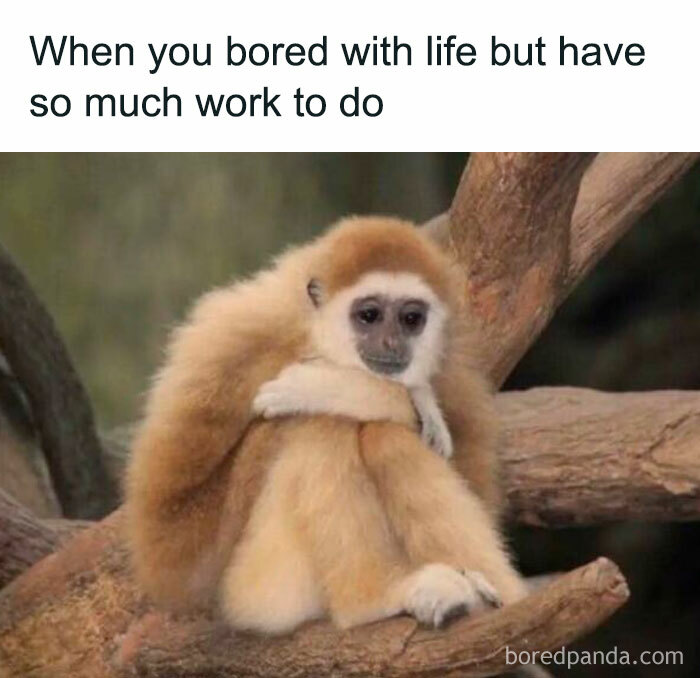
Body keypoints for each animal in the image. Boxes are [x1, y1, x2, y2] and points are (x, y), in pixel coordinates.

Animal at [124, 216, 527, 635]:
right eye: (369, 315)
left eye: (411, 319)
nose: (391, 342)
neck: (311, 330)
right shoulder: (233, 341)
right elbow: (169, 534)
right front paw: (390, 394)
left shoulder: (455, 368)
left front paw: (388, 393)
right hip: (258, 588)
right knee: (318, 421)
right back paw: (369, 601)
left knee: (381, 435)